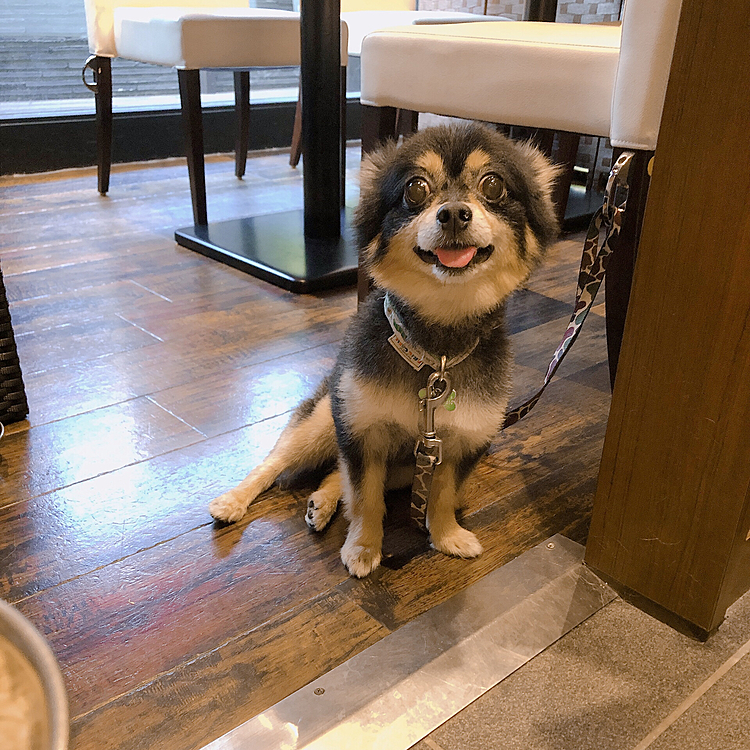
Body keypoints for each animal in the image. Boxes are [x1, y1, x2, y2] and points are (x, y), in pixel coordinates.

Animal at [209, 125, 560, 580]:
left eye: (493, 185)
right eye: (415, 189)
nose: (453, 213)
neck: (433, 352)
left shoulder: (458, 443)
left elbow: (442, 496)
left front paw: (447, 536)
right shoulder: (362, 429)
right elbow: (365, 498)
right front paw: (362, 547)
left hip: (397, 464)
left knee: (335, 471)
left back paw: (323, 501)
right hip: (325, 418)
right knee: (275, 463)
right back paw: (235, 500)